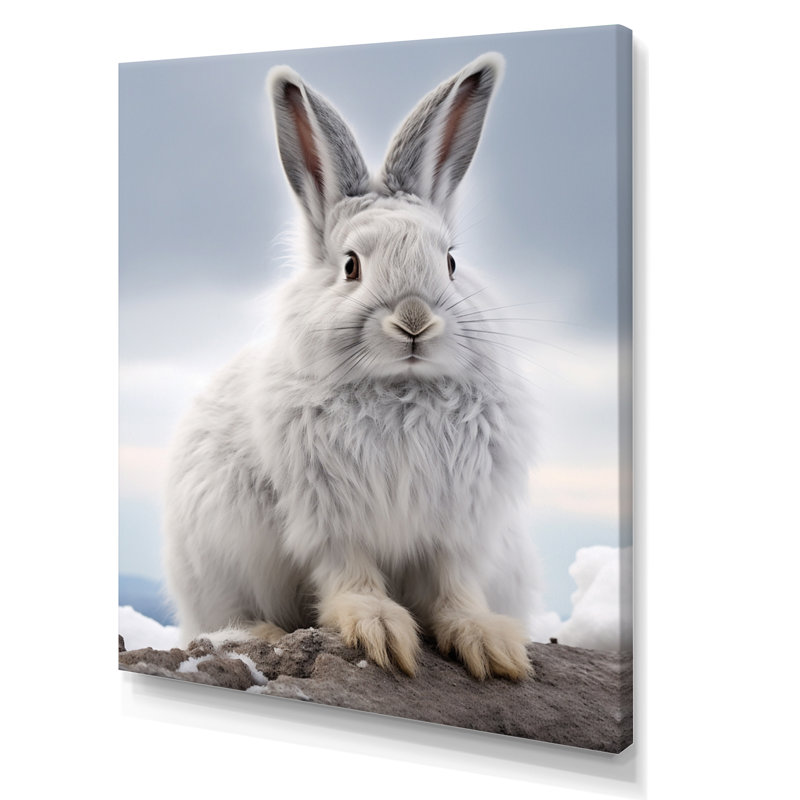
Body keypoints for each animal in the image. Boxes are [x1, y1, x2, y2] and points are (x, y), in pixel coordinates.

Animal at [163, 52, 538, 680]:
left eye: (450, 262)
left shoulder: (458, 528)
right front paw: (379, 632)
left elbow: (454, 587)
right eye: (351, 266)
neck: (401, 390)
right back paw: (258, 633)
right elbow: (351, 574)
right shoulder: (329, 519)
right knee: (224, 619)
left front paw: (490, 645)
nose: (414, 320)